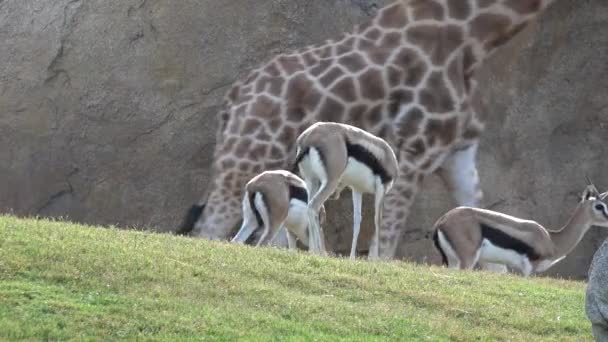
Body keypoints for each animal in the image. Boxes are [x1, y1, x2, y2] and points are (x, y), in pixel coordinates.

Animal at [178, 0, 560, 260]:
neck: (475, 36)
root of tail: (232, 101)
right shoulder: (416, 146)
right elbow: (384, 244)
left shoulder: (458, 152)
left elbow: (479, 215)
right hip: (245, 157)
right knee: (208, 230)